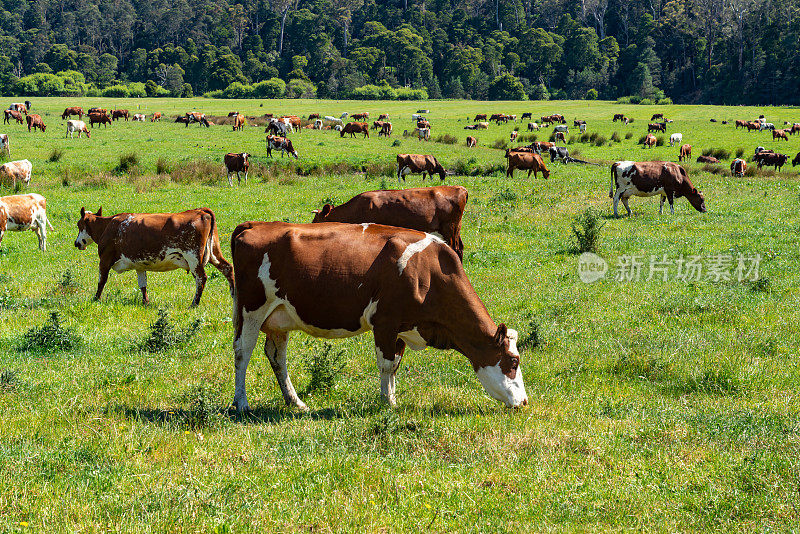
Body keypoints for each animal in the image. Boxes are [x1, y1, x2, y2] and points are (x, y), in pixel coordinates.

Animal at [74, 209, 234, 310]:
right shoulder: (139, 265)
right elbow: (142, 285)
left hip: (194, 258)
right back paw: (234, 295)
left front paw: (96, 299)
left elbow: (101, 281)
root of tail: (201, 211)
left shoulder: (105, 259)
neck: (108, 226)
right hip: (214, 252)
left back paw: (194, 304)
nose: (76, 243)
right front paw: (146, 303)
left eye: (79, 224)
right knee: (228, 268)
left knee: (201, 278)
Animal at [228, 220, 528, 412]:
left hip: (279, 318)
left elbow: (394, 365)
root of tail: (255, 224)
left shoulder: (403, 328)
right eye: (513, 361)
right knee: (243, 351)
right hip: (251, 309)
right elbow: (385, 365)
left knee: (277, 357)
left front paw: (392, 398)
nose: (524, 402)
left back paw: (295, 402)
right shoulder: (385, 322)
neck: (428, 271)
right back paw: (241, 403)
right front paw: (387, 403)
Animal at [308, 187, 468, 262]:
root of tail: (460, 188)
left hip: (449, 228)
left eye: (315, 221)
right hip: (457, 229)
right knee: (460, 248)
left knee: (455, 249)